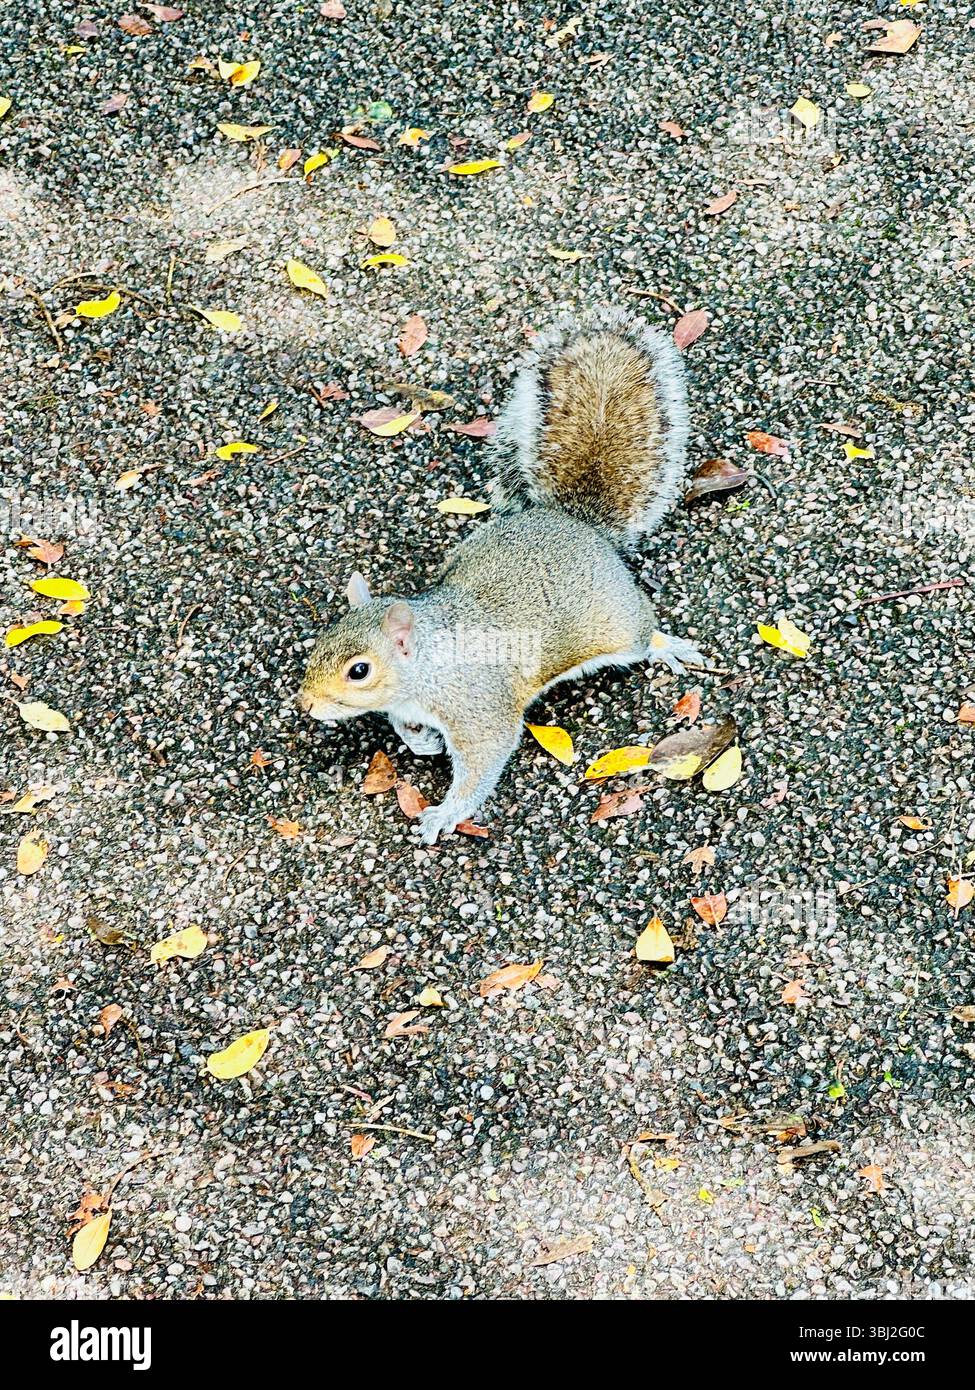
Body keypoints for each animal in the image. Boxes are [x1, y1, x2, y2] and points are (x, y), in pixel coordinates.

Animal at [298, 305, 701, 844]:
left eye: (358, 670)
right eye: (321, 642)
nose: (307, 704)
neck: (424, 669)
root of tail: (577, 525)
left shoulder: (477, 708)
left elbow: (484, 758)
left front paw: (444, 814)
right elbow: (403, 725)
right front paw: (420, 743)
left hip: (616, 626)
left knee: (642, 636)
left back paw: (666, 646)